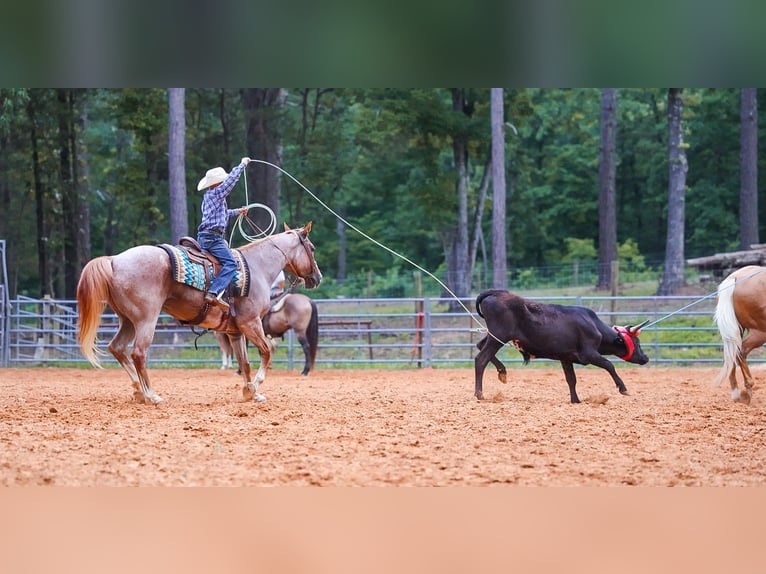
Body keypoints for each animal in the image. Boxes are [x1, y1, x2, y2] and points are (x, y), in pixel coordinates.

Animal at [76, 222, 322, 405]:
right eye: (312, 247)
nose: (317, 277)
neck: (257, 267)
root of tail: (114, 260)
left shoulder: (235, 331)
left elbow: (244, 362)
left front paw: (249, 391)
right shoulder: (251, 323)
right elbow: (266, 352)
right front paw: (256, 386)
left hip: (127, 320)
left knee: (117, 348)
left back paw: (138, 390)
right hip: (146, 319)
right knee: (138, 353)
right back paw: (151, 395)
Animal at [713, 265, 766, 404]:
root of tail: (735, 278)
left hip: (737, 329)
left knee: (733, 354)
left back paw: (736, 394)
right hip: (760, 332)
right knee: (741, 351)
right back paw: (748, 390)